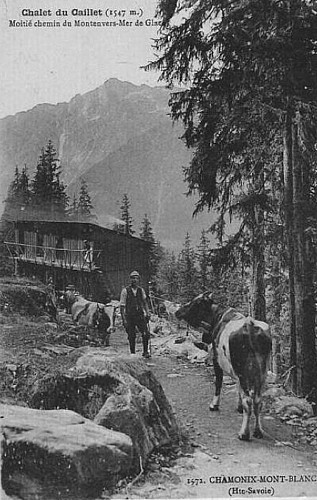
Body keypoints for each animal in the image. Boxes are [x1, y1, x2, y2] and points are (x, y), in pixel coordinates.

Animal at [174, 292, 270, 442]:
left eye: (194, 303)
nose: (177, 311)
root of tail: (249, 324)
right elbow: (238, 388)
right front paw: (238, 407)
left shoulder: (216, 360)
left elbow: (218, 383)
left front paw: (214, 405)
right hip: (261, 373)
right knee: (258, 401)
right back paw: (258, 431)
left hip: (243, 370)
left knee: (249, 400)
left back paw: (244, 433)